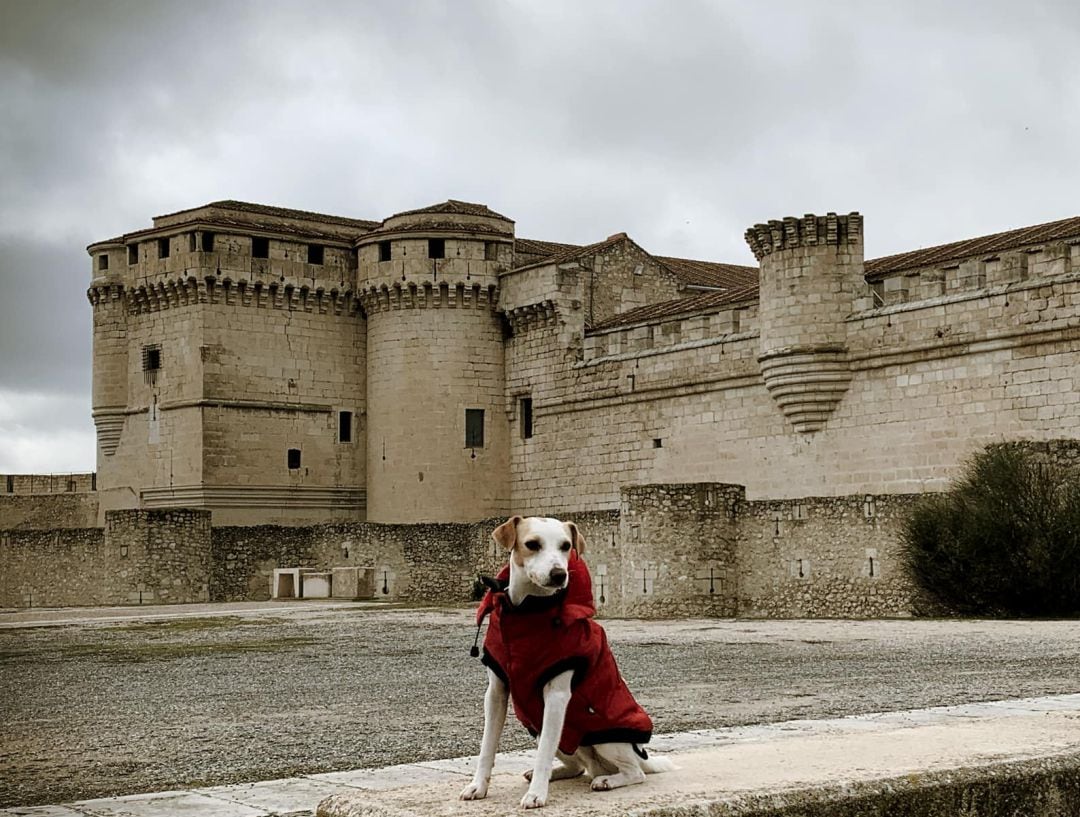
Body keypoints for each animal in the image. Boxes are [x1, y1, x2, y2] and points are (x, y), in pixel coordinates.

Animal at [460, 514, 669, 808]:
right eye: (532, 544)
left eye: (566, 546)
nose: (559, 574)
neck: (525, 612)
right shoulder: (496, 692)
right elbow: (487, 746)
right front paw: (478, 786)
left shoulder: (557, 697)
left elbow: (544, 753)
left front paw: (536, 794)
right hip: (544, 730)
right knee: (578, 767)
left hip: (606, 739)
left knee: (634, 773)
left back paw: (607, 781)